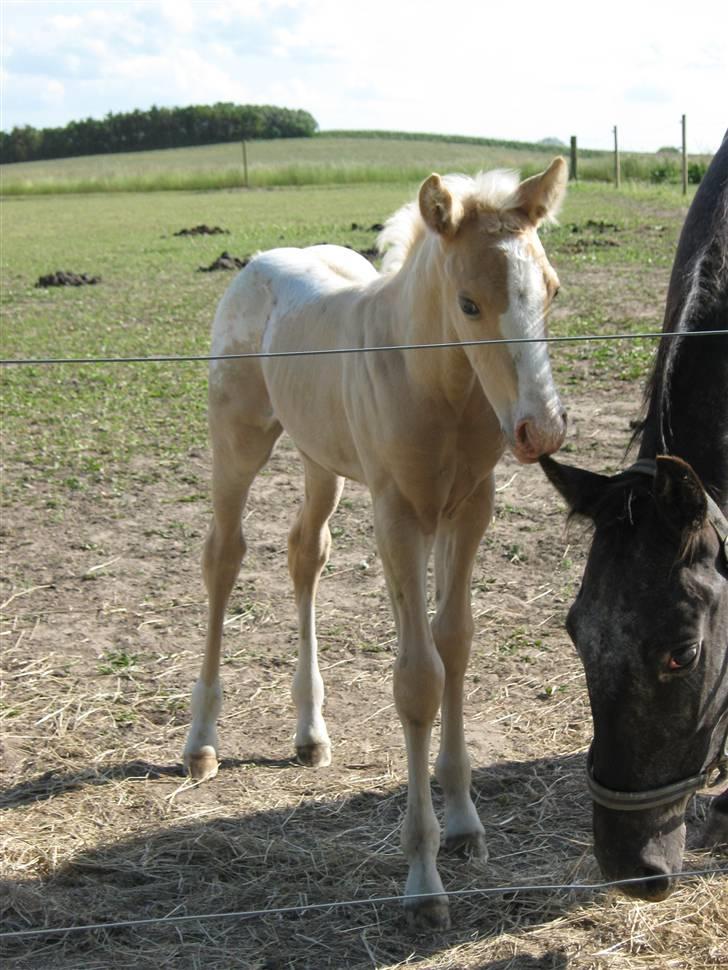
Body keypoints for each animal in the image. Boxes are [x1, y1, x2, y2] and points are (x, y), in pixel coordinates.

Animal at [183, 161, 568, 932]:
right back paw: (201, 741)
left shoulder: (469, 509)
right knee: (224, 556)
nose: (539, 430)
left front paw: (465, 822)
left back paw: (310, 733)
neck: (437, 385)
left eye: (551, 291)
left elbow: (455, 645)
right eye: (469, 304)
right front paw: (423, 879)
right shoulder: (398, 514)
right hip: (238, 442)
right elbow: (418, 678)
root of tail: (263, 262)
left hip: (320, 459)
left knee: (305, 552)